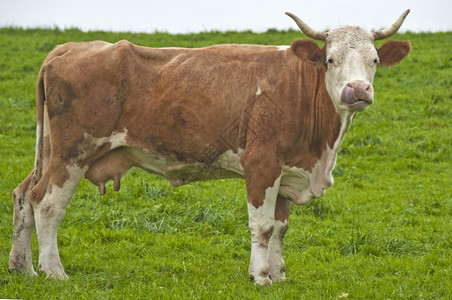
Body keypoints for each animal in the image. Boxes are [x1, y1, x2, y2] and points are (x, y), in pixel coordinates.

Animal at [7, 9, 410, 286]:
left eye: (374, 60)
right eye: (330, 59)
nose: (357, 90)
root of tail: (67, 47)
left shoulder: (287, 170)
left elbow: (280, 228)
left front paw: (278, 274)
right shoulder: (261, 164)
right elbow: (263, 226)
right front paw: (260, 277)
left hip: (50, 149)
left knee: (23, 194)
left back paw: (22, 268)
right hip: (74, 151)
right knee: (47, 204)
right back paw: (53, 272)